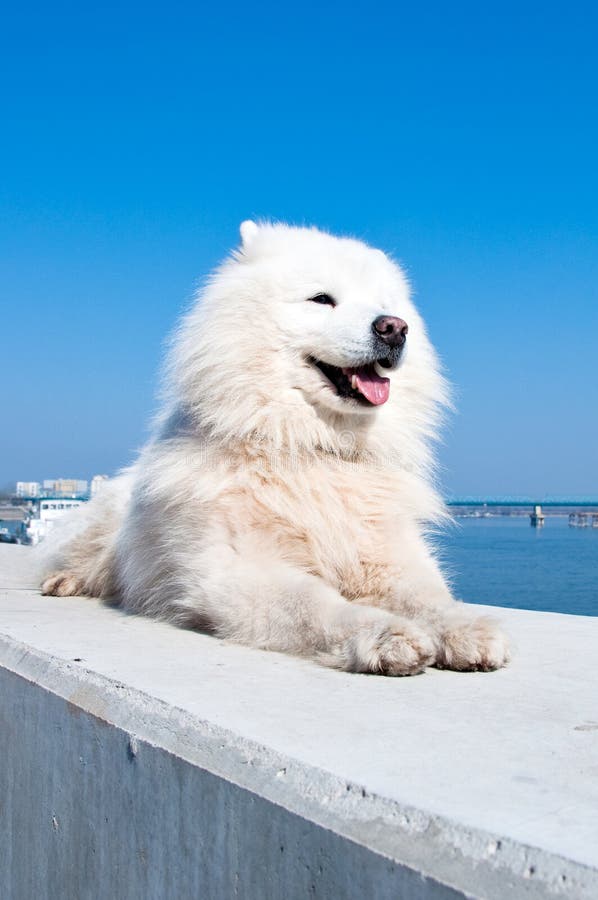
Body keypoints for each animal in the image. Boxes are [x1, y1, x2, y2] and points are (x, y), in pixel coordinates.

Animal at [42, 223, 510, 676]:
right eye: (322, 299)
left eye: (386, 306)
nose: (394, 327)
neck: (310, 444)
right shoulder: (240, 570)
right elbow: (316, 606)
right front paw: (384, 636)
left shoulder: (388, 557)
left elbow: (430, 598)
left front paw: (464, 628)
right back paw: (65, 580)